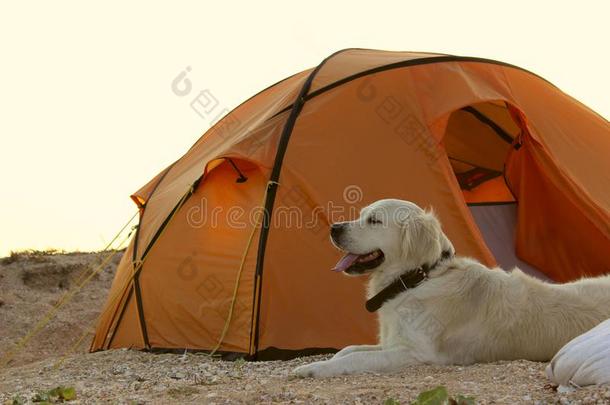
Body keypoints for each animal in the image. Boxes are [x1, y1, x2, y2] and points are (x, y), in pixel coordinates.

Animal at [292, 199, 604, 378]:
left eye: (374, 220)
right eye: (362, 215)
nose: (334, 227)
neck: (417, 278)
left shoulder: (415, 352)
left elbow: (355, 358)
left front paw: (312, 368)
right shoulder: (394, 341)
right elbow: (348, 350)